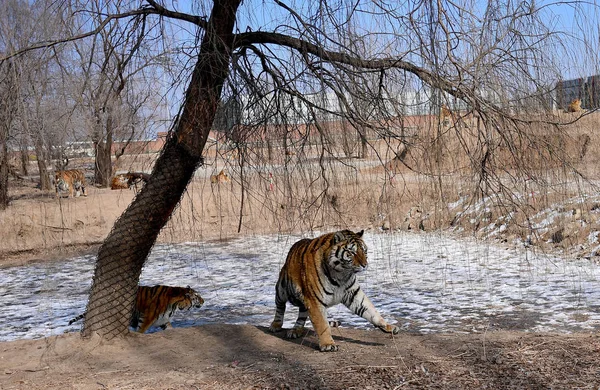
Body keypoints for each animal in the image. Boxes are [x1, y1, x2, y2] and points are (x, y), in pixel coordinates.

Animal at [70, 282, 204, 334]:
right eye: (197, 296)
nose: (204, 301)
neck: (174, 305)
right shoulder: (145, 320)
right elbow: (141, 331)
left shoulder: (163, 321)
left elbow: (171, 329)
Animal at [268, 230, 398, 352]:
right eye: (352, 252)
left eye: (364, 251)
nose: (365, 265)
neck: (341, 274)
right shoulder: (314, 300)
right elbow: (322, 324)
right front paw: (328, 344)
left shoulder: (353, 294)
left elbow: (371, 311)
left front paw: (388, 326)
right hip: (282, 290)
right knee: (280, 307)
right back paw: (275, 325)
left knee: (302, 314)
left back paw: (296, 330)